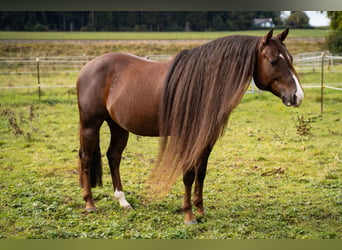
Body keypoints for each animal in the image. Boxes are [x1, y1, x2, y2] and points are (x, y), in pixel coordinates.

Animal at [76, 28, 304, 225]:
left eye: (291, 59)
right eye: (273, 61)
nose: (297, 96)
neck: (203, 84)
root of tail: (87, 67)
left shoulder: (207, 136)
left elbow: (201, 171)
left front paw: (200, 209)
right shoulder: (188, 135)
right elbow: (188, 174)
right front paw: (189, 215)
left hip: (118, 126)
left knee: (113, 157)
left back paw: (123, 201)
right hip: (90, 124)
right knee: (86, 158)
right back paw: (89, 204)